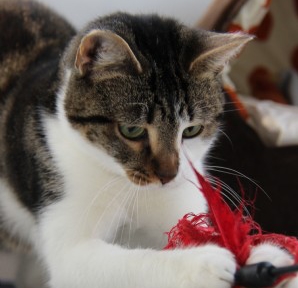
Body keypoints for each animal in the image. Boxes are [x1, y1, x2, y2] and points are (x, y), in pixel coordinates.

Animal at [0, 0, 296, 288]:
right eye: (131, 130)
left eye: (191, 130)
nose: (168, 175)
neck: (129, 187)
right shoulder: (69, 240)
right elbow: (117, 264)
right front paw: (203, 264)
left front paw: (264, 254)